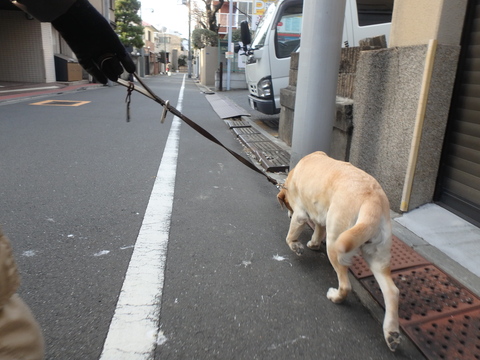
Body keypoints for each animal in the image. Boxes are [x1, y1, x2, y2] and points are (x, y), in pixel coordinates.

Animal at [276, 151, 404, 352]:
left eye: (288, 206)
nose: (287, 214)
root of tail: (372, 199)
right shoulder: (319, 215)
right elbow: (319, 228)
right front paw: (313, 243)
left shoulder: (300, 214)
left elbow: (291, 235)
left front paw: (297, 246)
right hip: (378, 254)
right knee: (392, 291)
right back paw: (391, 334)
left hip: (336, 240)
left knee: (345, 285)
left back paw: (335, 297)